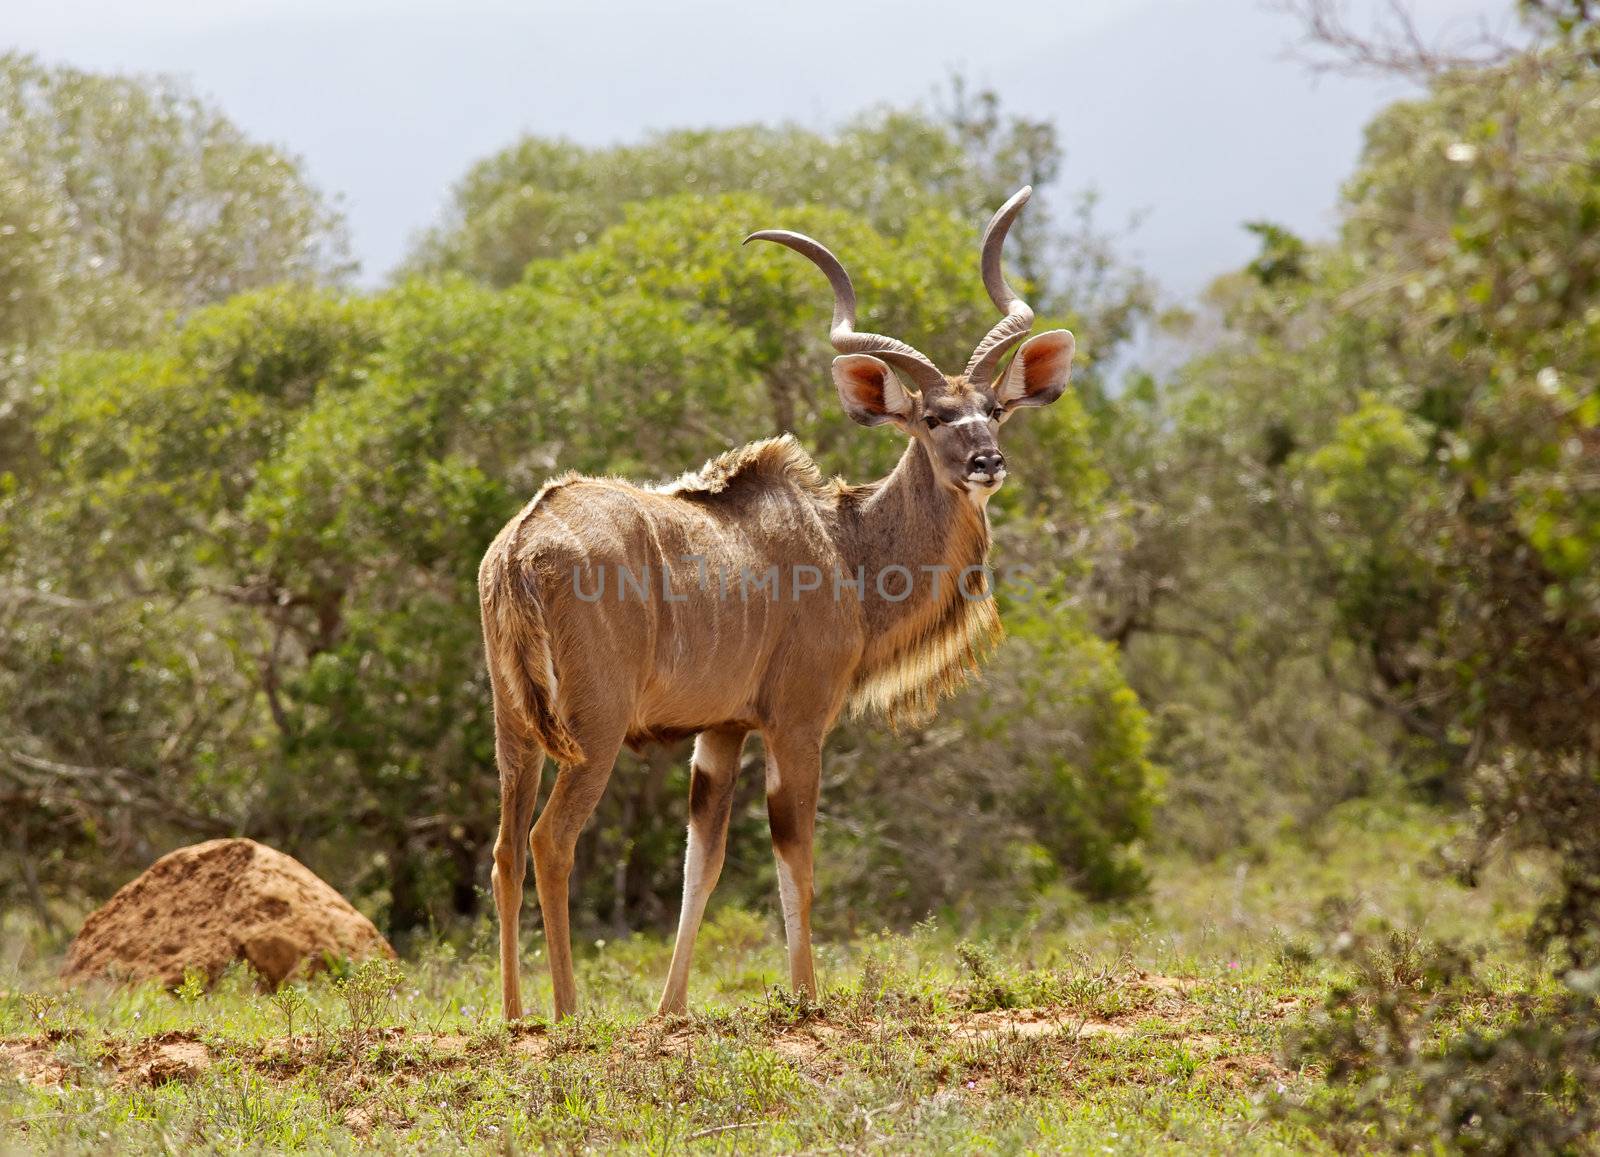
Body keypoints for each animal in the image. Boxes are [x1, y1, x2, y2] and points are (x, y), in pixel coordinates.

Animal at [473, 185, 1075, 1017]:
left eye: (995, 406)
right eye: (931, 417)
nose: (988, 462)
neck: (845, 547)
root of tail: (522, 548)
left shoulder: (722, 730)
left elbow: (703, 860)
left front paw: (671, 1008)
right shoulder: (796, 720)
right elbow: (797, 855)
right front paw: (805, 995)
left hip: (514, 727)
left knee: (503, 846)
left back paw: (514, 1014)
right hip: (592, 730)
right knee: (549, 839)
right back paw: (568, 1012)